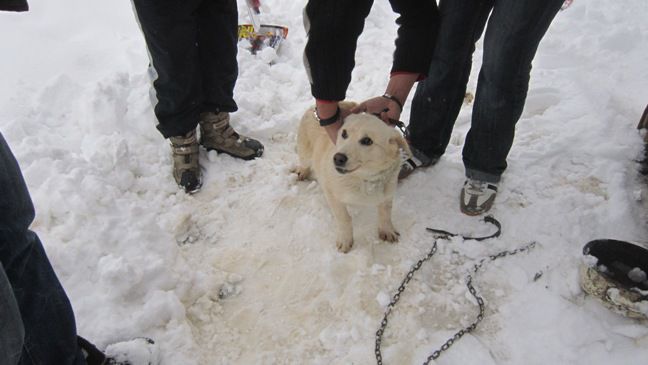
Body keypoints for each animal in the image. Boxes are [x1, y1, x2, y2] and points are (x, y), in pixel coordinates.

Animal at [294, 101, 410, 252]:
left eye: (367, 140)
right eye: (344, 133)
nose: (337, 158)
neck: (364, 179)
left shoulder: (387, 195)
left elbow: (386, 214)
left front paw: (387, 230)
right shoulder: (332, 194)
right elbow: (345, 219)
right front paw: (345, 240)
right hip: (305, 152)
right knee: (304, 161)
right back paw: (302, 171)